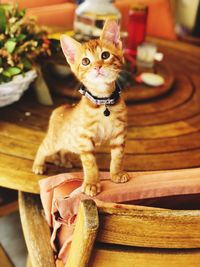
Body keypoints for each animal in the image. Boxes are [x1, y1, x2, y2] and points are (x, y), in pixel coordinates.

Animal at [32, 20, 130, 197]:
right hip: (54, 141)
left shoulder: (119, 135)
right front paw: (91, 183)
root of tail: (62, 107)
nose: (97, 67)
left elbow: (118, 157)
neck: (103, 103)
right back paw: (38, 165)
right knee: (42, 148)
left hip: (70, 143)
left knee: (63, 150)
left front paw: (116, 173)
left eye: (105, 55)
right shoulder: (85, 140)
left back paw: (64, 162)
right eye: (85, 61)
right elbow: (90, 164)